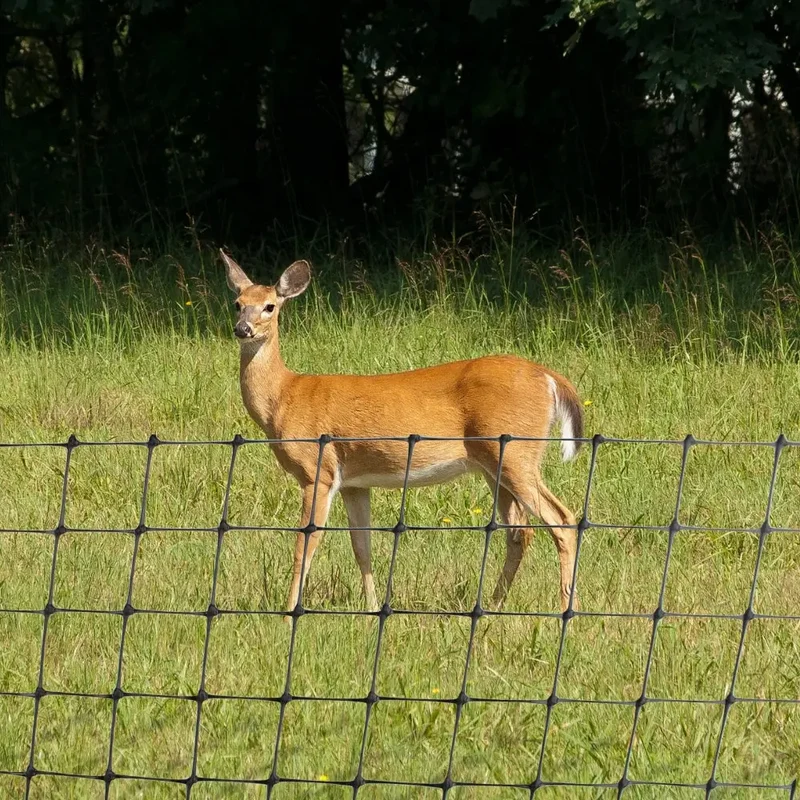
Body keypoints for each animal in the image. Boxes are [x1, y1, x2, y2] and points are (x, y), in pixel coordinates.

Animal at [220, 249, 584, 619]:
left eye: (269, 306)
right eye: (237, 303)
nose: (242, 328)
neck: (285, 397)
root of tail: (549, 377)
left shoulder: (316, 471)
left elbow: (305, 543)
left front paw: (287, 613)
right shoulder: (354, 482)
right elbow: (361, 546)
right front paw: (370, 609)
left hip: (516, 453)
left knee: (562, 519)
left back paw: (565, 608)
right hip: (494, 464)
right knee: (519, 531)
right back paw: (493, 605)